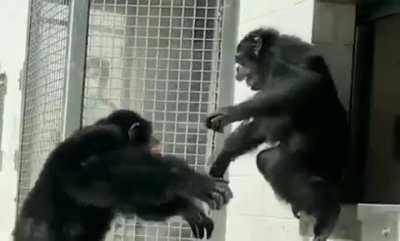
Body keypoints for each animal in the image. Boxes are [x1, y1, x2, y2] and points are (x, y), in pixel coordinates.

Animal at [14, 109, 233, 241]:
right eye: (150, 135)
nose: (157, 139)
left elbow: (135, 202)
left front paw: (187, 208)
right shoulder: (104, 135)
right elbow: (83, 175)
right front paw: (190, 180)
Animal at [205, 28, 348, 241]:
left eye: (239, 58)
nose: (237, 69)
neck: (266, 58)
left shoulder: (280, 57)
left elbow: (305, 80)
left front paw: (229, 113)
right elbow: (259, 126)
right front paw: (222, 157)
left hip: (321, 157)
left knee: (274, 161)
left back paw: (327, 213)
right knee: (267, 160)